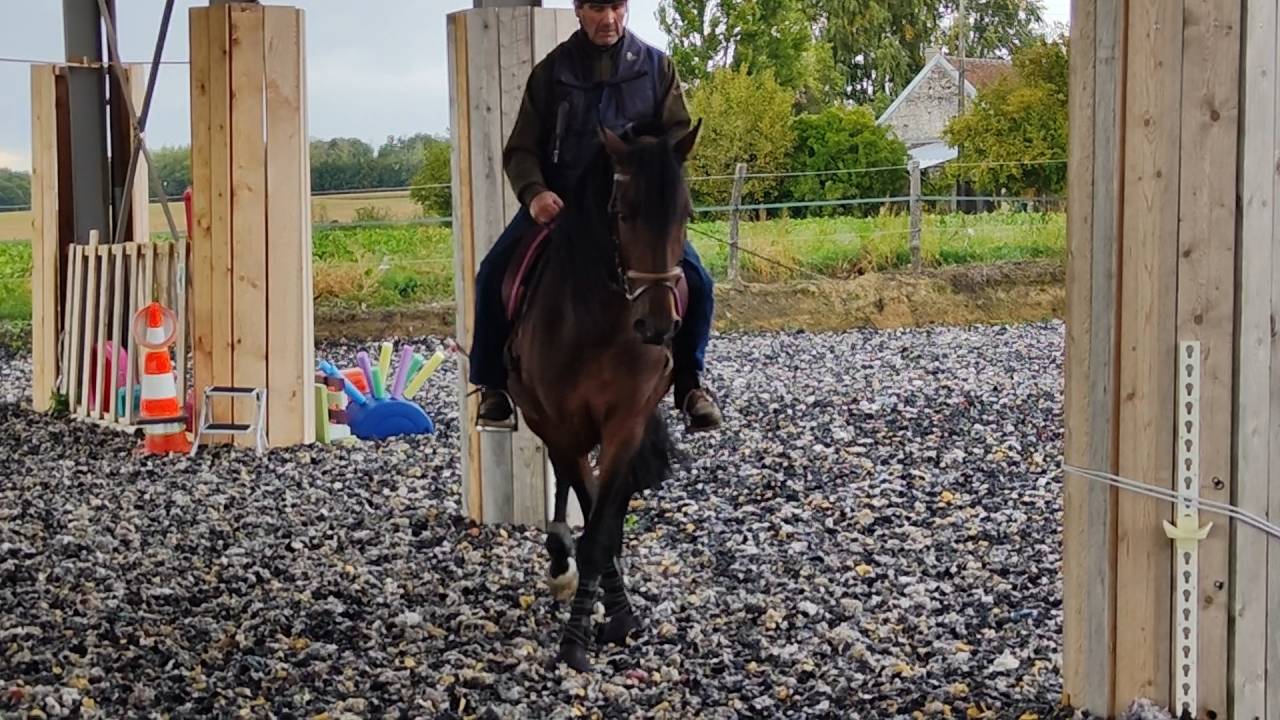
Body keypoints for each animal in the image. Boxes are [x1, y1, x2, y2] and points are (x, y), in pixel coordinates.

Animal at [502, 120, 703, 672]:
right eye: (621, 212)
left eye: (685, 213)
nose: (657, 325)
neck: (598, 321)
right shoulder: (563, 426)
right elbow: (591, 513)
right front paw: (579, 635)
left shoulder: (625, 425)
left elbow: (604, 529)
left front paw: (617, 617)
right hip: (542, 418)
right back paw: (557, 557)